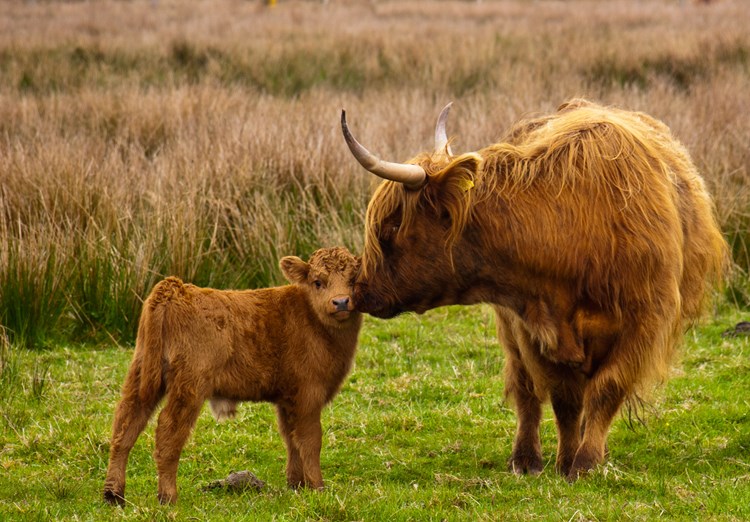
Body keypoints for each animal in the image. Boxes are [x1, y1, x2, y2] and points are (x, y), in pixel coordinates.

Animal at [103, 247, 362, 505]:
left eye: (353, 280)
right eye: (318, 282)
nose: (341, 302)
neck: (313, 319)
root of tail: (176, 288)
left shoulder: (288, 398)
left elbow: (291, 439)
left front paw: (296, 484)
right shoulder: (308, 394)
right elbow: (310, 440)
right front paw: (318, 487)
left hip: (141, 377)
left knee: (125, 426)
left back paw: (113, 494)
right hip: (189, 386)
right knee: (168, 432)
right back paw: (168, 496)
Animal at [341, 99, 727, 480]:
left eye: (390, 228)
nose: (359, 291)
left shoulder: (645, 321)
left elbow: (606, 388)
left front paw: (586, 462)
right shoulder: (531, 324)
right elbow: (563, 398)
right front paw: (566, 460)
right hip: (512, 331)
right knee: (525, 389)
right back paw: (525, 460)